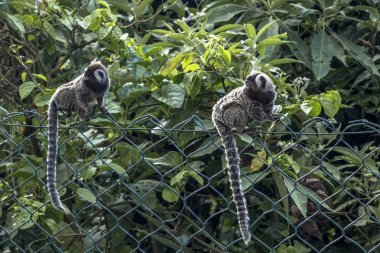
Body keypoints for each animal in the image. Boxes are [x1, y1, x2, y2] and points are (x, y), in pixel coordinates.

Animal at [46, 60, 110, 212]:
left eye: (88, 75)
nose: (84, 77)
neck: (94, 87)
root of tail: (53, 97)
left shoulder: (104, 88)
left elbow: (100, 98)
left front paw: (101, 107)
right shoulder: (81, 87)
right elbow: (78, 94)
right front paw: (89, 109)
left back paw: (80, 115)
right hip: (61, 96)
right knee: (70, 93)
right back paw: (79, 112)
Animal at [211, 71, 276, 245]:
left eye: (250, 80)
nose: (245, 82)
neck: (260, 94)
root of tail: (216, 119)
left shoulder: (270, 96)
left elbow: (268, 107)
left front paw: (271, 115)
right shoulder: (249, 97)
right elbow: (254, 111)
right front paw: (267, 119)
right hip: (226, 116)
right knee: (238, 109)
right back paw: (242, 129)